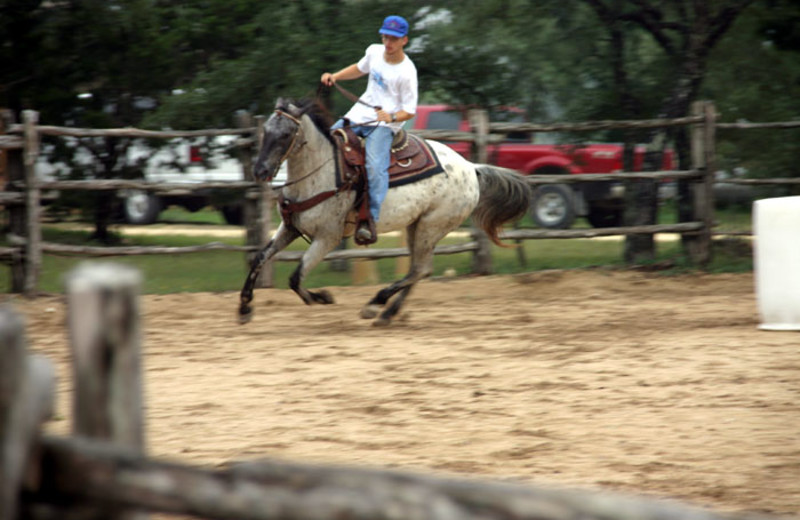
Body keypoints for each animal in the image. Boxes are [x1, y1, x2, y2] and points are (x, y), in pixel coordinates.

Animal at [241, 97, 536, 324]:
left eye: (286, 134)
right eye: (265, 131)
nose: (260, 171)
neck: (321, 172)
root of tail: (472, 168)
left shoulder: (327, 237)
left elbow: (295, 277)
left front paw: (323, 297)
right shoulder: (290, 227)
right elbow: (260, 258)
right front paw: (244, 306)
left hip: (432, 225)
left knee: (419, 269)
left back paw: (375, 304)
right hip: (417, 226)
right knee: (420, 269)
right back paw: (388, 313)